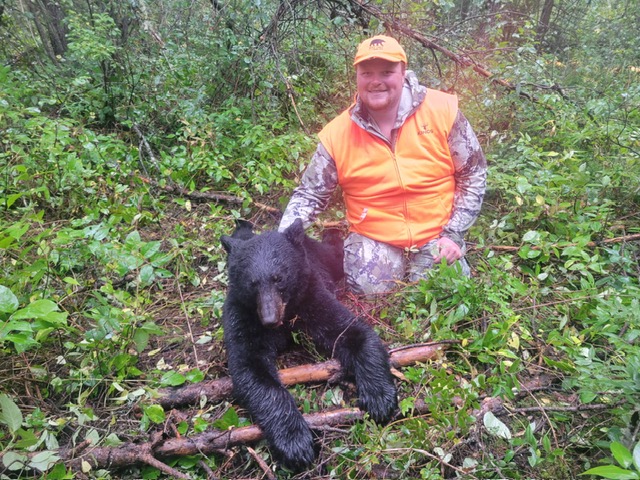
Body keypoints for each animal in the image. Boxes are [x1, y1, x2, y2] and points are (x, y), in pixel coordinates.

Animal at [220, 219, 398, 470]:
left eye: (279, 278)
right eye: (252, 283)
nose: (269, 319)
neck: (286, 316)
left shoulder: (311, 296)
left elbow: (354, 332)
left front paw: (379, 397)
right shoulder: (242, 316)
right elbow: (251, 369)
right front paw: (295, 442)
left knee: (334, 254)